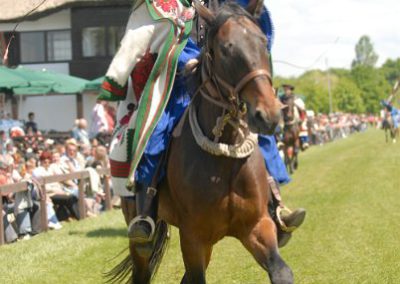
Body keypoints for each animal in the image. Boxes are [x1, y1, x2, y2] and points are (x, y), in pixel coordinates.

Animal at [108, 1, 292, 282]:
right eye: (225, 49)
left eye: (263, 42)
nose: (268, 114)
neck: (224, 160)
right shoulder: (193, 237)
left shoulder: (257, 226)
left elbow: (281, 271)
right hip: (139, 233)